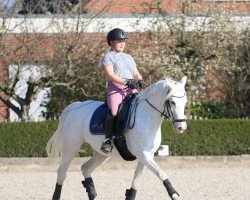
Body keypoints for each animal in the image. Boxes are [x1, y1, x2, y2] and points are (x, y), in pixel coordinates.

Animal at [47, 76, 188, 200]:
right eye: (172, 102)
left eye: (185, 102)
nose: (181, 127)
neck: (147, 116)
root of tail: (75, 107)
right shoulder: (143, 154)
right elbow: (161, 173)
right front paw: (174, 194)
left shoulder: (147, 155)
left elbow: (136, 181)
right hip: (71, 147)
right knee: (62, 172)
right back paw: (56, 195)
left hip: (102, 154)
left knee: (85, 168)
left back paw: (92, 194)